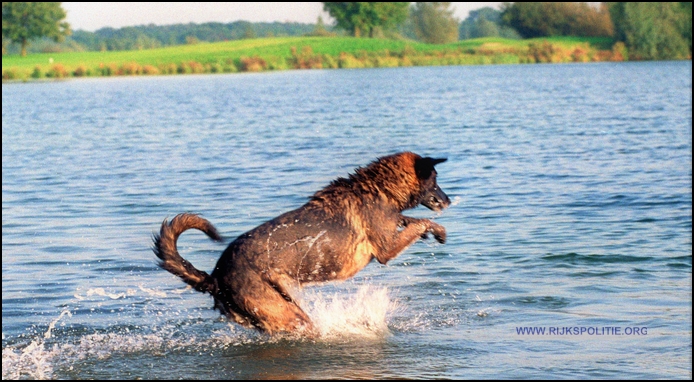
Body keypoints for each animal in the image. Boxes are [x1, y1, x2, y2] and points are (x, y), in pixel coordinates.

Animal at [152, 152, 452, 334]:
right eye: (436, 181)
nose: (448, 200)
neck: (379, 188)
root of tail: (215, 276)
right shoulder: (385, 250)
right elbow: (419, 222)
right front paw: (435, 229)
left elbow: (408, 219)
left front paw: (429, 228)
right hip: (290, 315)